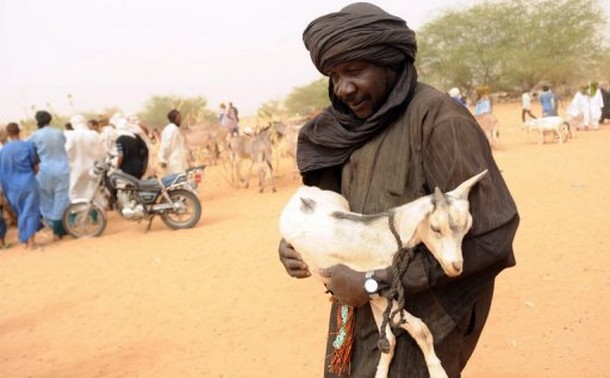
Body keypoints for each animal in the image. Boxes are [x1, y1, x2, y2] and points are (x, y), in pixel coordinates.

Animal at [280, 171, 484, 378]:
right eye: (435, 228)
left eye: (467, 229)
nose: (456, 267)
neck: (390, 236)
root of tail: (302, 192)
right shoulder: (374, 292)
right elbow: (421, 330)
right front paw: (438, 372)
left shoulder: (375, 295)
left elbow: (390, 341)